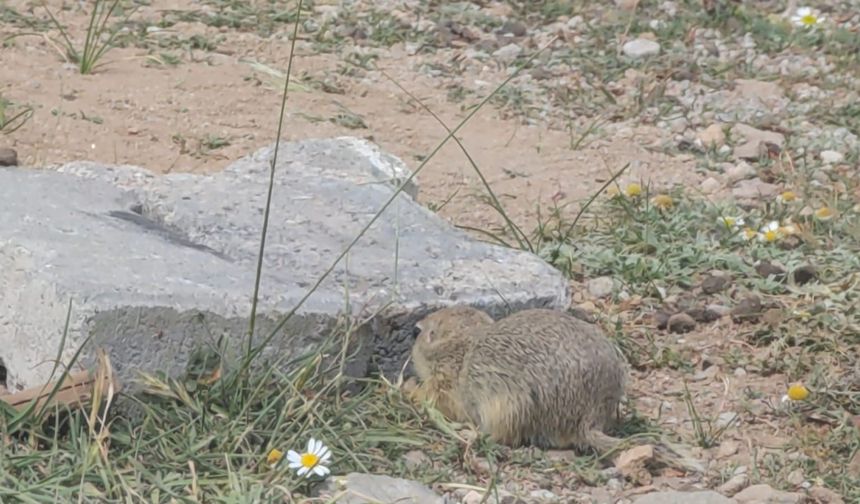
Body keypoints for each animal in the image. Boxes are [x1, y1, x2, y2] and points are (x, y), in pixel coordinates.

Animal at [412, 306, 704, 474]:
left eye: (428, 333)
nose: (416, 328)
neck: (462, 345)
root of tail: (590, 420)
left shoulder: (448, 386)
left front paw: (408, 389)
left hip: (506, 408)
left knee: (499, 435)